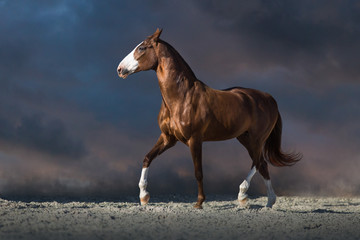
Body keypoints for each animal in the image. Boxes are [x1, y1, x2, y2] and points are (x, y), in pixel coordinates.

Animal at [116, 28, 300, 208]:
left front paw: (199, 202)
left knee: (259, 162)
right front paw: (144, 197)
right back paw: (264, 201)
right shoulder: (168, 138)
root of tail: (269, 98)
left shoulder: (195, 139)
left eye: (142, 48)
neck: (182, 97)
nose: (119, 69)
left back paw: (250, 196)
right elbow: (147, 158)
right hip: (244, 137)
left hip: (256, 139)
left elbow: (198, 172)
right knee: (261, 163)